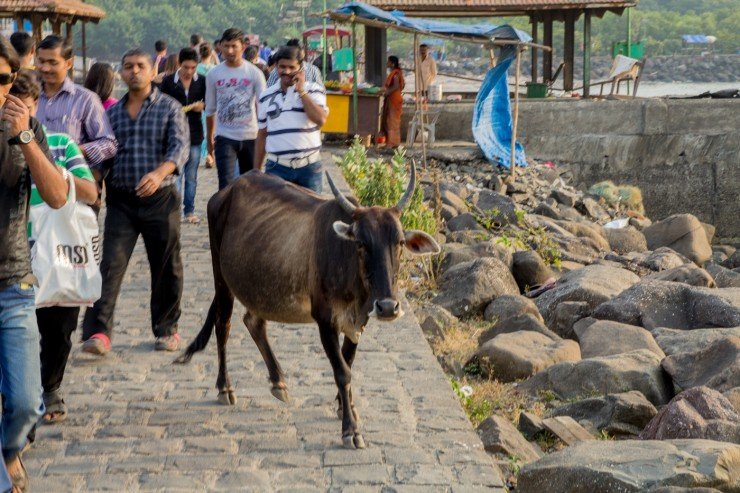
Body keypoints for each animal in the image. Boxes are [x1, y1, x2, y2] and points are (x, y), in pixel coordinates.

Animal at [173, 164, 440, 446]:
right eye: (361, 243)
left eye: (399, 242)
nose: (388, 307)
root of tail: (227, 190)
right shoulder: (325, 320)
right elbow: (342, 371)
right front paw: (350, 429)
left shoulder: (358, 322)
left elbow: (348, 362)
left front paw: (344, 407)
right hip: (222, 280)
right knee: (222, 326)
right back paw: (225, 387)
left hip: (258, 284)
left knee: (254, 323)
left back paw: (278, 382)